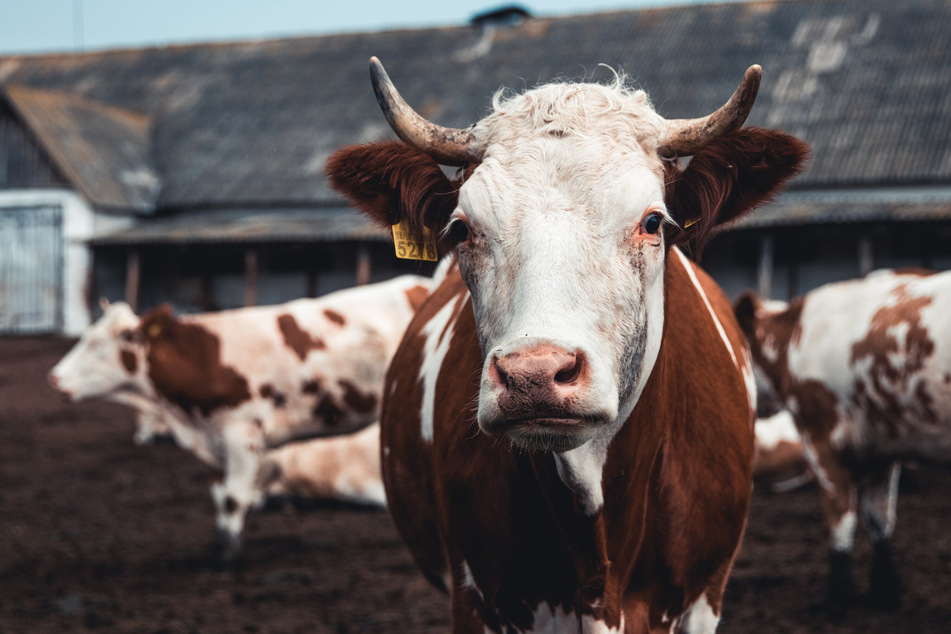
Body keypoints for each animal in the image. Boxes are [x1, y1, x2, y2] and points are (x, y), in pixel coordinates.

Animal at [48, 274, 428, 560]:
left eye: (97, 345)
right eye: (85, 337)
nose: (53, 378)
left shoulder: (242, 433)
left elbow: (233, 498)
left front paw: (227, 557)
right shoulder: (213, 438)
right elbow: (220, 495)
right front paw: (220, 546)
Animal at [736, 268, 951, 616]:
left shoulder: (821, 437)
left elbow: (839, 518)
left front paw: (838, 596)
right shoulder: (881, 444)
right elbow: (879, 518)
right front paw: (883, 591)